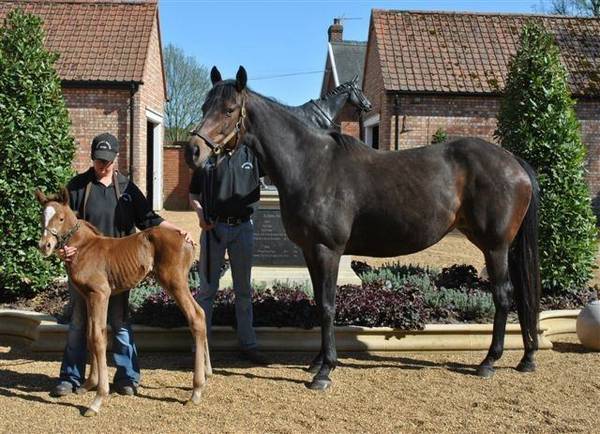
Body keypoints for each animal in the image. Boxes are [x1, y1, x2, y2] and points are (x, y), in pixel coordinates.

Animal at [36, 190, 211, 418]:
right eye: (42, 216)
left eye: (61, 218)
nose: (44, 245)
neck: (84, 248)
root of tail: (186, 238)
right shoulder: (88, 296)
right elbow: (90, 335)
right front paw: (89, 384)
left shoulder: (100, 294)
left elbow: (98, 337)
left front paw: (98, 399)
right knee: (202, 313)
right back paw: (207, 374)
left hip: (175, 282)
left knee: (196, 317)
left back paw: (196, 391)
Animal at [190, 67, 540, 390]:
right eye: (204, 105)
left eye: (229, 109)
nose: (194, 150)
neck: (310, 165)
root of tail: (514, 162)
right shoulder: (310, 251)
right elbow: (319, 302)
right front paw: (317, 360)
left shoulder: (327, 250)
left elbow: (328, 306)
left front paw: (325, 371)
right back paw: (526, 357)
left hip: (495, 246)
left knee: (503, 296)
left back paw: (489, 361)